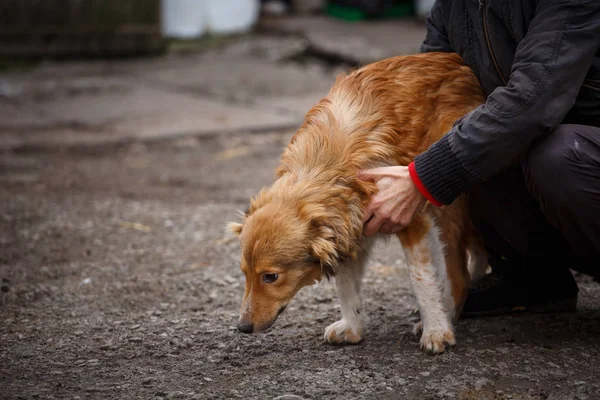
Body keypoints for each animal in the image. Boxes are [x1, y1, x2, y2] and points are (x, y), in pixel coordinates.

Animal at [229, 50, 488, 354]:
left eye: (270, 276)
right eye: (244, 273)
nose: (242, 328)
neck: (326, 165)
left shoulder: (411, 217)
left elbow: (421, 279)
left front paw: (436, 329)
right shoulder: (349, 227)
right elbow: (345, 284)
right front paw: (352, 327)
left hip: (446, 204)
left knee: (460, 276)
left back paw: (442, 315)